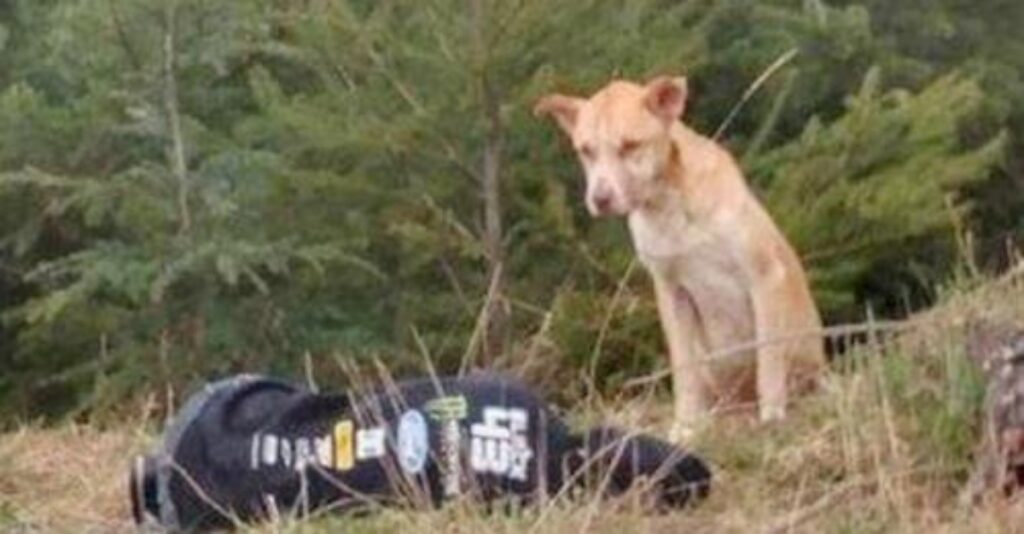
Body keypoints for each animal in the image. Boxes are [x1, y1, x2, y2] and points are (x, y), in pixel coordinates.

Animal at [536, 75, 823, 436]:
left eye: (630, 145)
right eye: (585, 151)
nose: (600, 199)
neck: (669, 207)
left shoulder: (764, 276)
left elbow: (769, 357)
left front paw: (772, 414)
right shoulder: (672, 294)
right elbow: (684, 370)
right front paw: (686, 427)